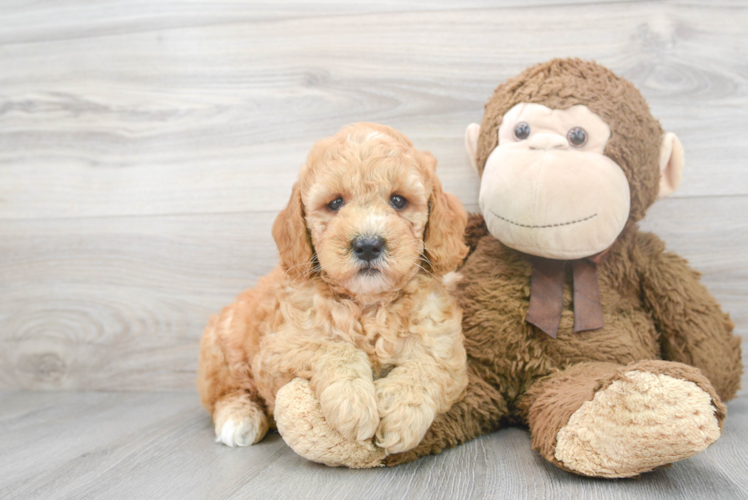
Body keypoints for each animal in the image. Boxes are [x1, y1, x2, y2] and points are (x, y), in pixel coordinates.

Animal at [197, 123, 468, 456]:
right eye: (336, 203)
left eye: (398, 201)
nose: (368, 245)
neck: (368, 304)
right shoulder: (280, 347)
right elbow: (333, 348)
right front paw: (353, 403)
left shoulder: (445, 348)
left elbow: (427, 368)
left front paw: (402, 417)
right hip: (222, 350)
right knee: (227, 392)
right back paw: (238, 419)